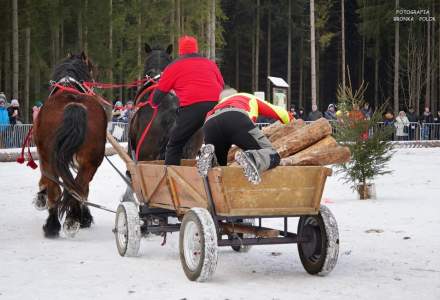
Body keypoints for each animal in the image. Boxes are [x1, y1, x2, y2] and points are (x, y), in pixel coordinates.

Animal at [32, 52, 107, 238]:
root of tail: (74, 104)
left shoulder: (43, 156)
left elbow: (45, 181)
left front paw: (41, 197)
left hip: (49, 158)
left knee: (57, 188)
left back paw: (55, 224)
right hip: (90, 161)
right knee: (79, 188)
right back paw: (73, 220)